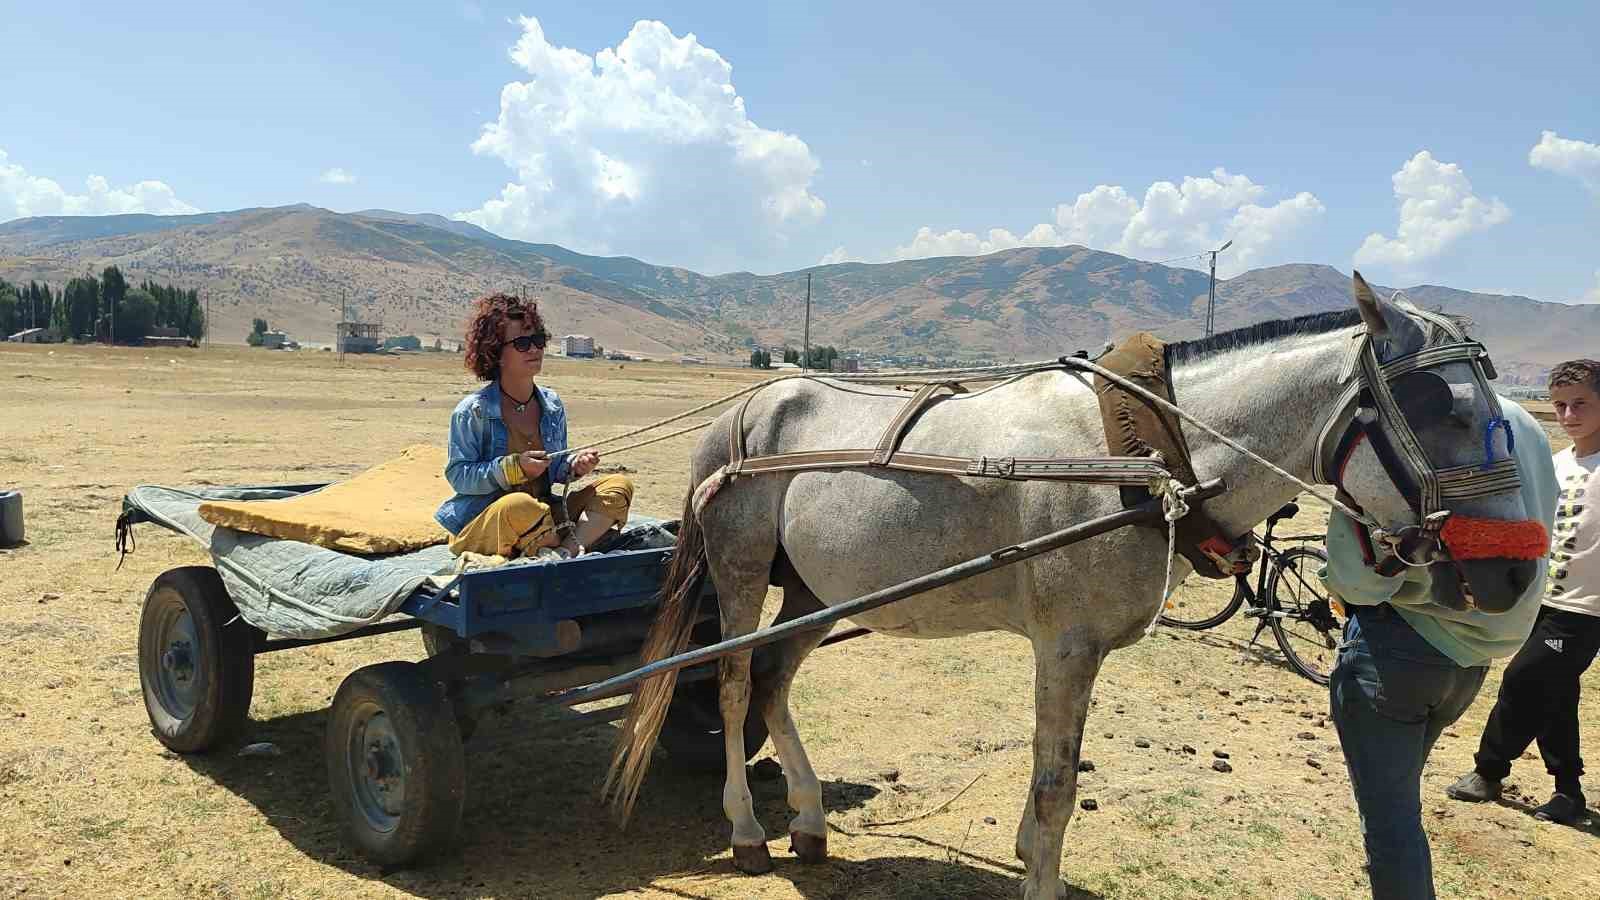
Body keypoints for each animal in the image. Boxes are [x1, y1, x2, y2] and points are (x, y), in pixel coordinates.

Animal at [608, 277, 1536, 890]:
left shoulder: (1075, 652)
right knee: (734, 686)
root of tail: (747, 407)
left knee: (773, 683)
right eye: (1441, 408)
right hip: (740, 576)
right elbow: (1056, 788)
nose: (1513, 573)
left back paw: (804, 817)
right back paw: (746, 830)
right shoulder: (1066, 644)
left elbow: (1053, 772)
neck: (1147, 457)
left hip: (811, 591)